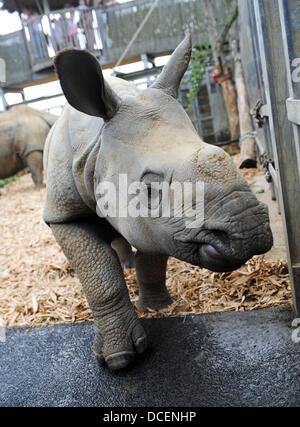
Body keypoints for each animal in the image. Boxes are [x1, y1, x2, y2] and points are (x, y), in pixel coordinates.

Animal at [43, 34, 274, 372]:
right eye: (150, 188)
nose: (251, 232)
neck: (98, 142)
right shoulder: (63, 214)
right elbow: (99, 274)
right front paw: (119, 358)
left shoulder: (159, 223)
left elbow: (152, 257)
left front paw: (158, 307)